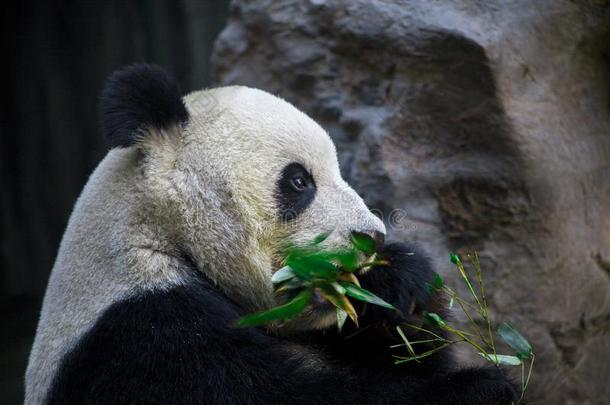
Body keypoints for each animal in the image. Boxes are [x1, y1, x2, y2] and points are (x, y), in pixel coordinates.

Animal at [26, 64, 516, 404]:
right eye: (300, 181)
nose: (372, 237)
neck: (160, 235)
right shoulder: (143, 335)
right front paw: (484, 388)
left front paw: (398, 282)